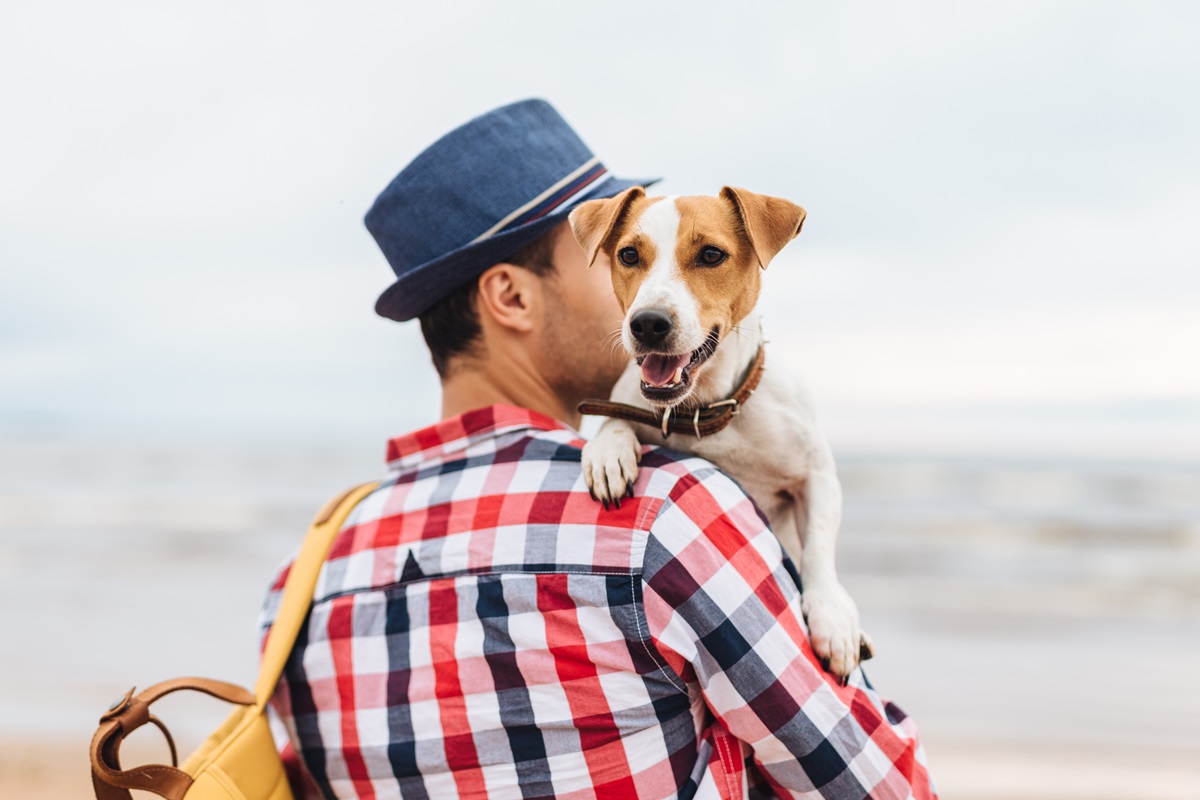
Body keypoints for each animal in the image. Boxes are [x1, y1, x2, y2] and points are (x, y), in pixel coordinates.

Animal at [568, 188, 873, 681]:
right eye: (629, 255)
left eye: (711, 255)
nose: (647, 322)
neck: (703, 409)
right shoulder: (626, 398)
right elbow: (615, 414)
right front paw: (609, 452)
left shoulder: (817, 477)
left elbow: (818, 546)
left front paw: (832, 617)